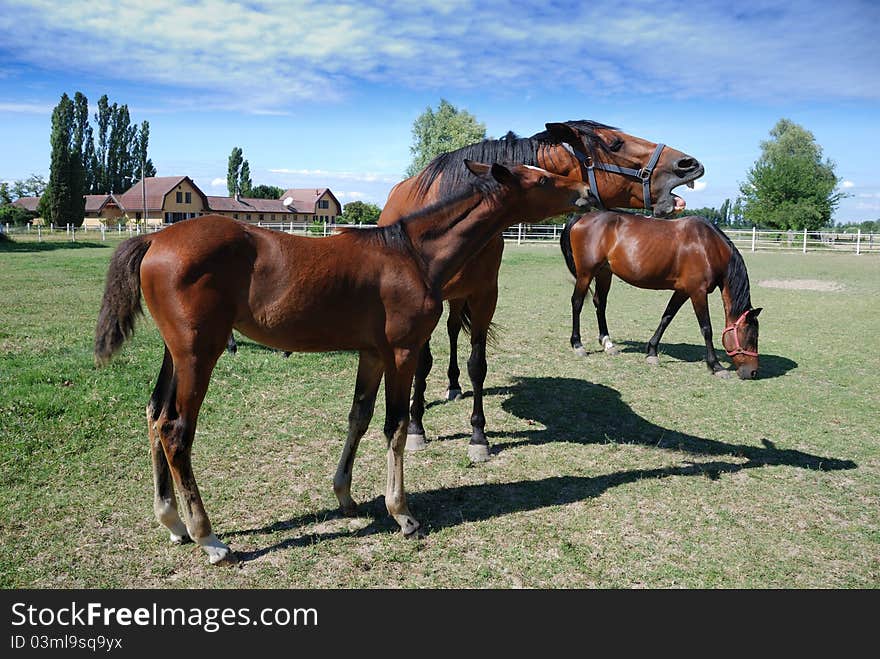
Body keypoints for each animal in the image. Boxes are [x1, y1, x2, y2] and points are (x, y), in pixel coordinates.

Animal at [94, 161, 592, 568]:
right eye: (543, 179)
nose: (586, 191)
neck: (413, 254)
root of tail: (155, 236)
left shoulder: (372, 354)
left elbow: (359, 417)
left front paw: (346, 497)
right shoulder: (402, 352)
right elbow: (395, 426)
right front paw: (402, 513)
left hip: (175, 353)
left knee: (155, 414)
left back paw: (173, 523)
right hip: (200, 353)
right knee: (176, 431)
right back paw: (209, 539)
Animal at [382, 121, 704, 462]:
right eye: (615, 143)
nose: (688, 164)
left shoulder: (484, 297)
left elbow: (477, 365)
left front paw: (478, 436)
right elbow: (422, 364)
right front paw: (416, 428)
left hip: (459, 298)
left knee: (455, 329)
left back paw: (454, 384)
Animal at [564, 209, 764, 378]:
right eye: (752, 336)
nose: (753, 372)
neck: (708, 246)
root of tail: (581, 217)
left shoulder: (682, 291)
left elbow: (667, 317)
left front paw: (652, 352)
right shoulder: (697, 292)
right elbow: (706, 328)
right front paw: (716, 366)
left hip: (604, 273)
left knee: (600, 304)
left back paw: (607, 344)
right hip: (586, 273)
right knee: (577, 302)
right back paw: (578, 345)